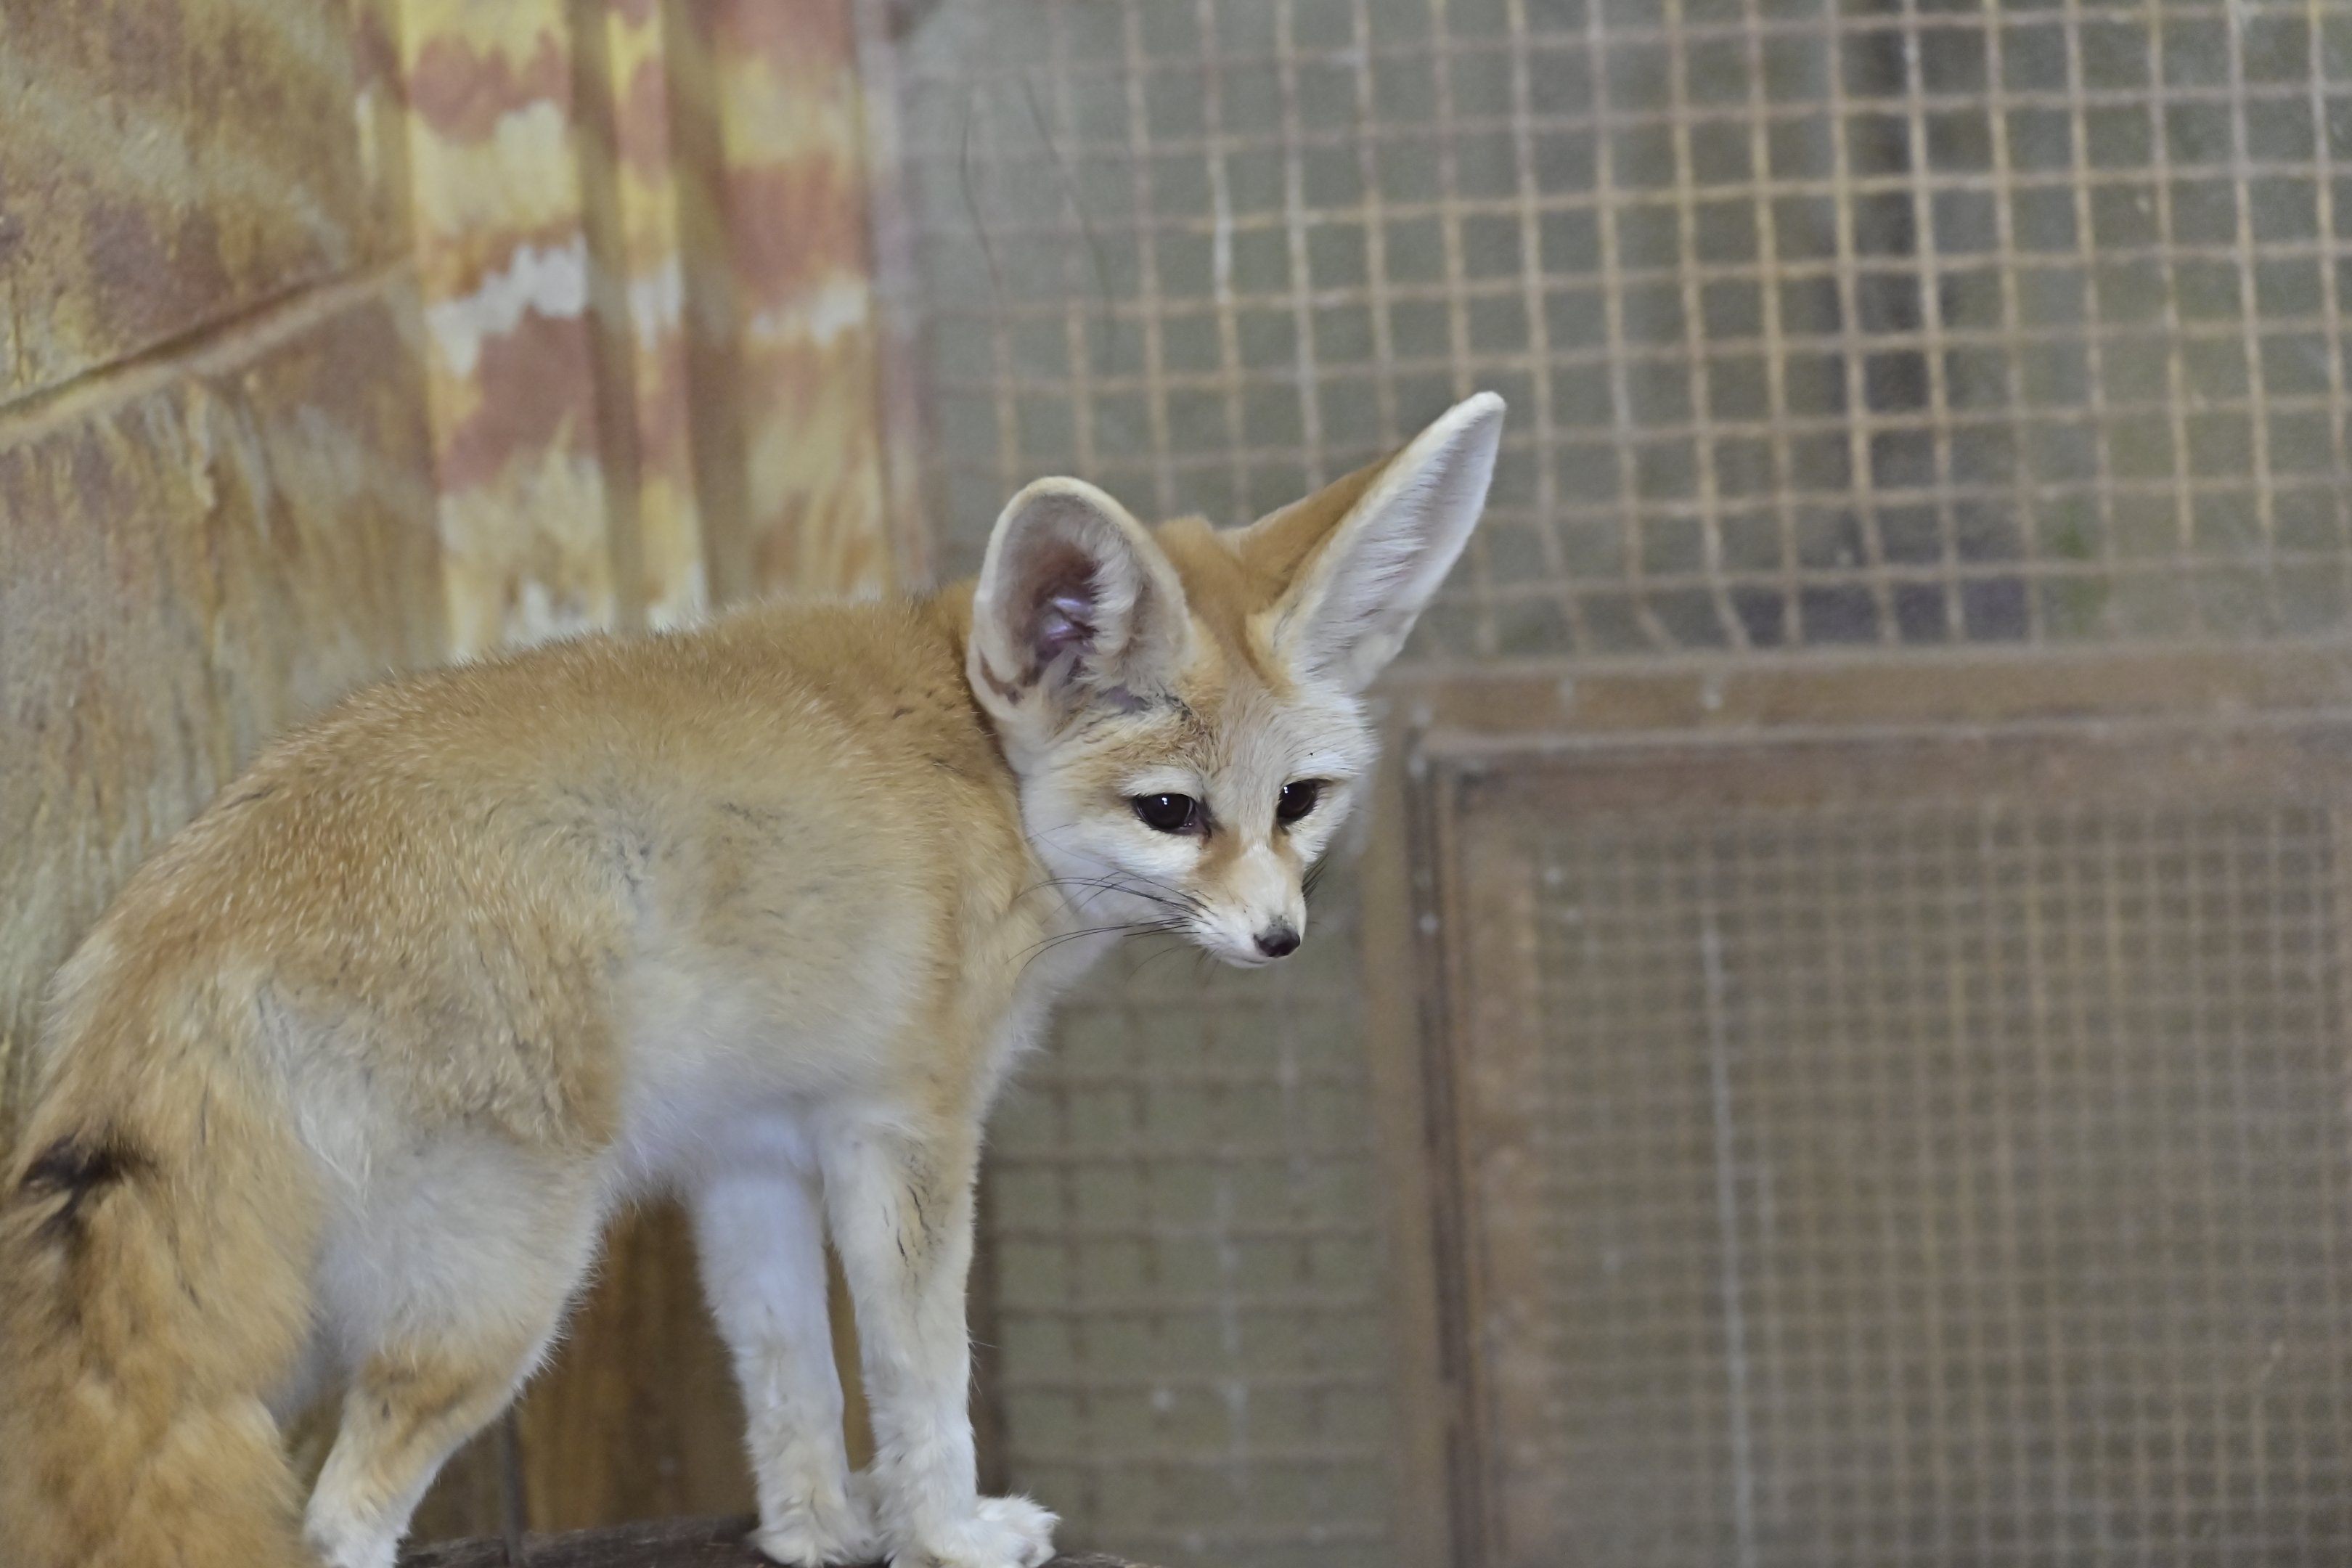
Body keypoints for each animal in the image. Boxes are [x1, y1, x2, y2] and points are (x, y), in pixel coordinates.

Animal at [0, 393, 1503, 1568]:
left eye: (1300, 802)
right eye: (1173, 814)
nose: (1280, 939)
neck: (982, 773)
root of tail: (197, 921)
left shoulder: (748, 1152)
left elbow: (790, 1383)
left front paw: (818, 1532)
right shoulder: (906, 1137)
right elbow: (923, 1381)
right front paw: (950, 1533)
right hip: (491, 1304)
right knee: (338, 1519)